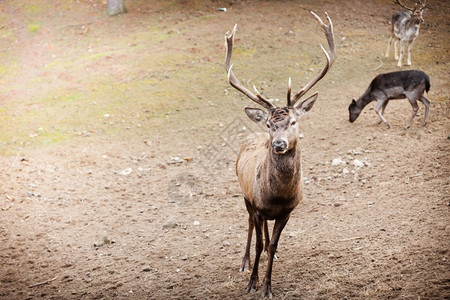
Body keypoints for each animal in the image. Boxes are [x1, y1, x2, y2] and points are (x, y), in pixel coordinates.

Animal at [225, 11, 334, 298]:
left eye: (293, 121)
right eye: (269, 124)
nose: (278, 144)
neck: (277, 196)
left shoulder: (287, 212)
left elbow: (273, 245)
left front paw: (267, 286)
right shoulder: (258, 206)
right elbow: (258, 242)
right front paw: (252, 283)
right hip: (245, 196)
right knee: (250, 226)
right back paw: (245, 262)